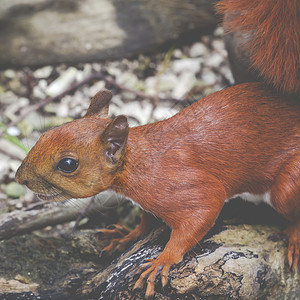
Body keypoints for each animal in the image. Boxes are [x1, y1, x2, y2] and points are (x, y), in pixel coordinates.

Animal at [15, 83, 300, 296]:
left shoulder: (189, 187)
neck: (137, 161)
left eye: (68, 164)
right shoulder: (149, 202)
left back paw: (294, 238)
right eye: (45, 134)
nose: (20, 178)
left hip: (286, 186)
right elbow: (146, 221)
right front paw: (127, 236)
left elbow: (202, 212)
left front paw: (163, 260)